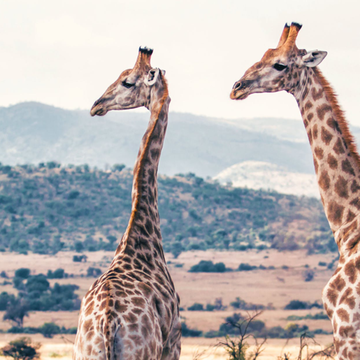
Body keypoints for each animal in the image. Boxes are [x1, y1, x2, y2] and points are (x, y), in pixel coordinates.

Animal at [73, 47, 181, 360]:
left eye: (127, 82)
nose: (97, 105)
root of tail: (108, 323)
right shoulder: (173, 343)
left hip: (85, 352)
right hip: (144, 352)